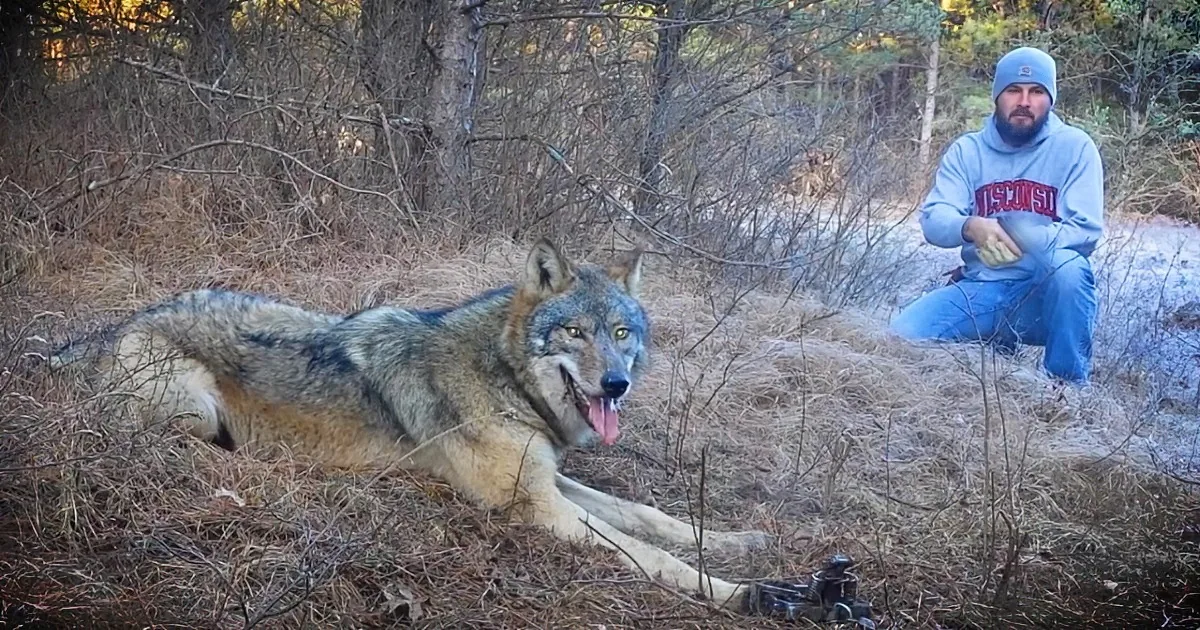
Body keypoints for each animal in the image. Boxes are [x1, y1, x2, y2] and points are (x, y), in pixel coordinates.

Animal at [49, 239, 787, 616]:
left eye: (622, 333)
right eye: (575, 333)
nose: (616, 384)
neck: (503, 376)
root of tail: (119, 324)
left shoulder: (551, 482)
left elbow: (652, 517)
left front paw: (743, 542)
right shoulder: (537, 507)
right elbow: (652, 554)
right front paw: (740, 594)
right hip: (197, 413)